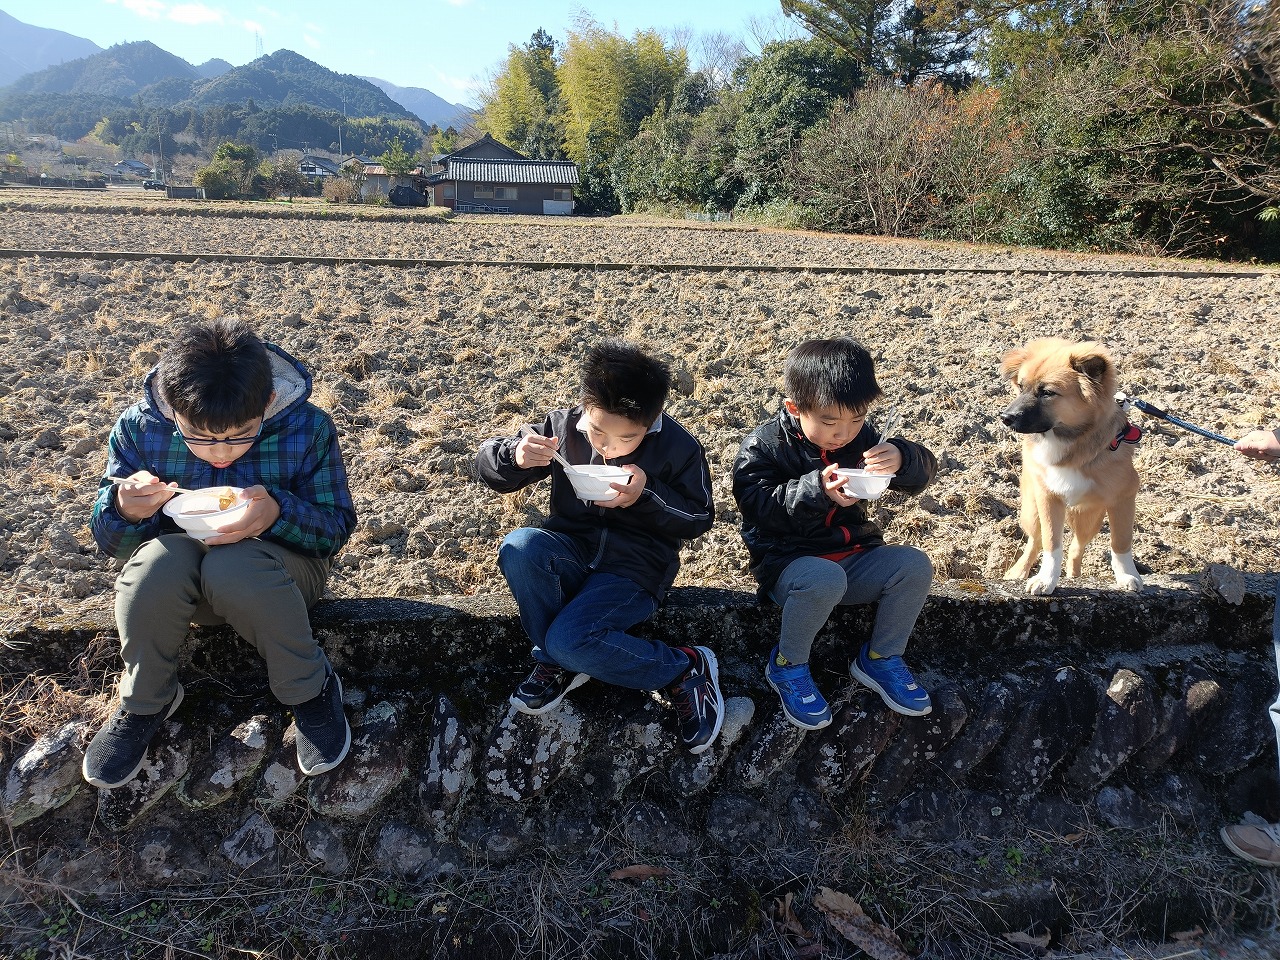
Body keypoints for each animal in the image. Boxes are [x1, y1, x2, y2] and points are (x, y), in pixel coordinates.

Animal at [998, 337, 1141, 593]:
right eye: (1021, 387)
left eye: (1047, 392)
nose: (1005, 417)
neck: (1069, 442)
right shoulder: (1048, 497)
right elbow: (1051, 543)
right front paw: (1046, 579)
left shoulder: (1123, 498)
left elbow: (1121, 543)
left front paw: (1126, 575)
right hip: (1032, 509)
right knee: (1035, 541)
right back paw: (1018, 572)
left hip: (1090, 516)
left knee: (1076, 547)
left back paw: (1075, 576)